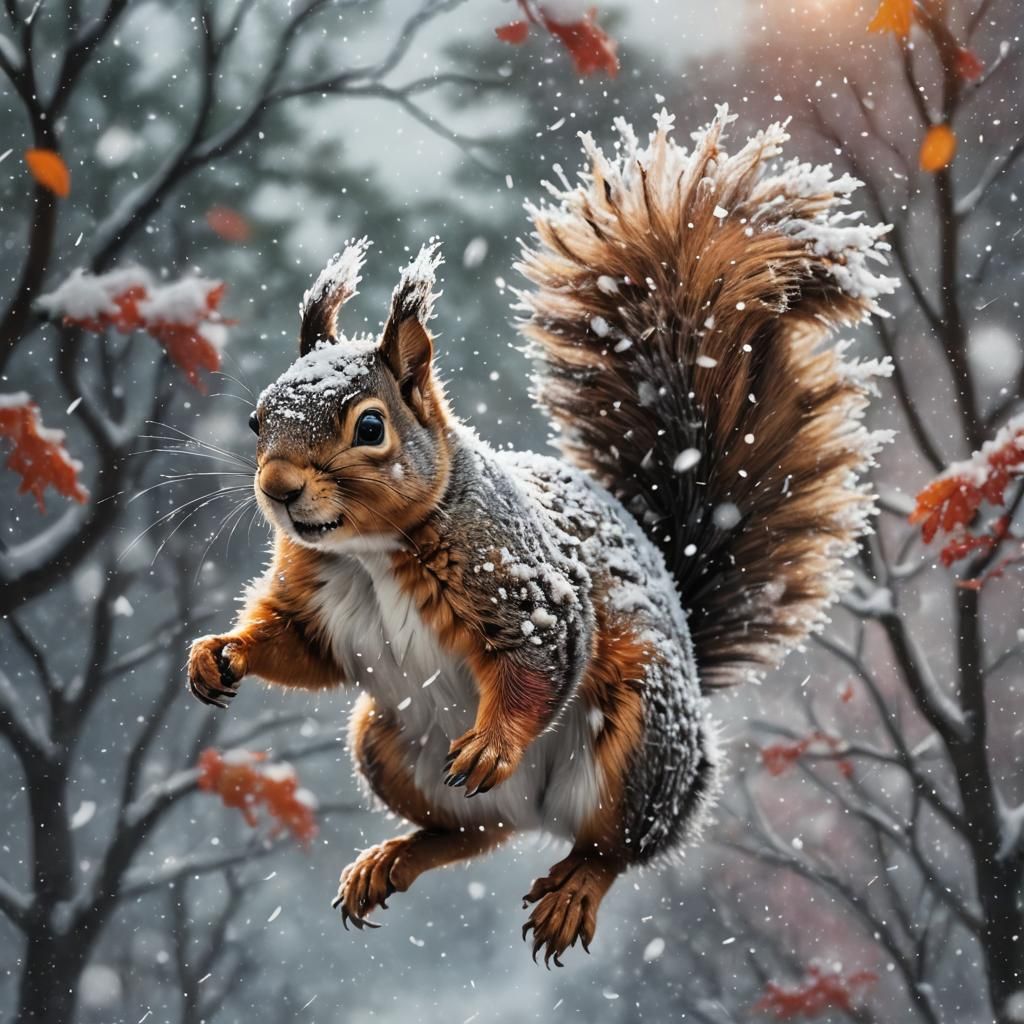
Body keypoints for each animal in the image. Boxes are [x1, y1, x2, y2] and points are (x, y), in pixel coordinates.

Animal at [188, 107, 895, 965]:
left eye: (370, 427)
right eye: (258, 421)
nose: (279, 489)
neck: (369, 555)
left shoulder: (527, 588)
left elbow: (536, 662)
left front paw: (494, 742)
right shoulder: (314, 596)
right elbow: (294, 645)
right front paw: (219, 653)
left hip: (642, 735)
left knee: (615, 843)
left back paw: (572, 885)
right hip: (384, 745)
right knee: (473, 835)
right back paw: (395, 857)